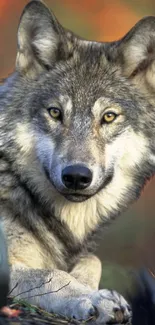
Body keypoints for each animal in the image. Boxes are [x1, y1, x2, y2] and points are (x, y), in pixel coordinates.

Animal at [0, 0, 155, 322]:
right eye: (55, 112)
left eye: (108, 116)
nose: (76, 176)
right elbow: (51, 274)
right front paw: (94, 298)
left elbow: (92, 260)